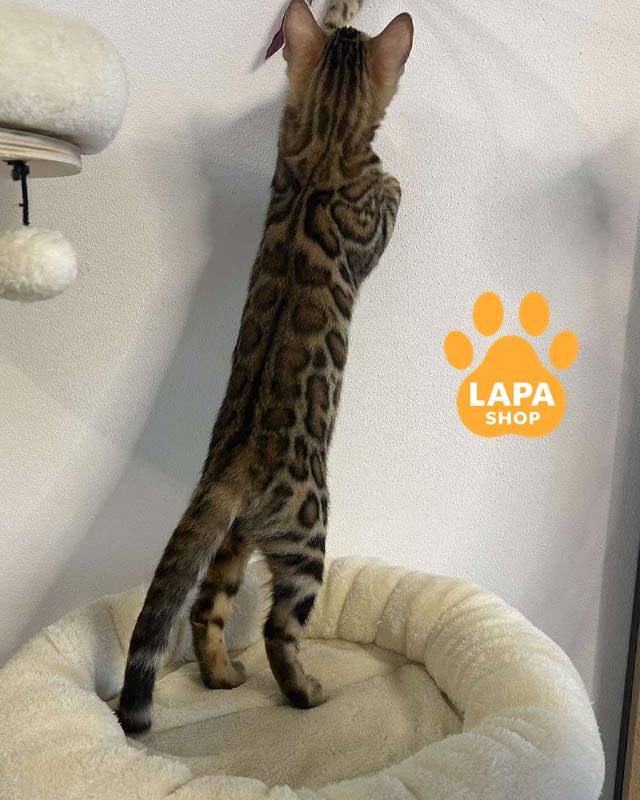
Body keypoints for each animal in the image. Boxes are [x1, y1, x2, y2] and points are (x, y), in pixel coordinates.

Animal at [117, 0, 413, 734]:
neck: (325, 141)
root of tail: (236, 466)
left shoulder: (290, 123)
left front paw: (337, 14)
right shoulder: (370, 225)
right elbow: (388, 195)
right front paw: (394, 177)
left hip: (232, 540)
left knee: (203, 608)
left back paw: (224, 675)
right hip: (309, 534)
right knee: (281, 628)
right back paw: (304, 691)